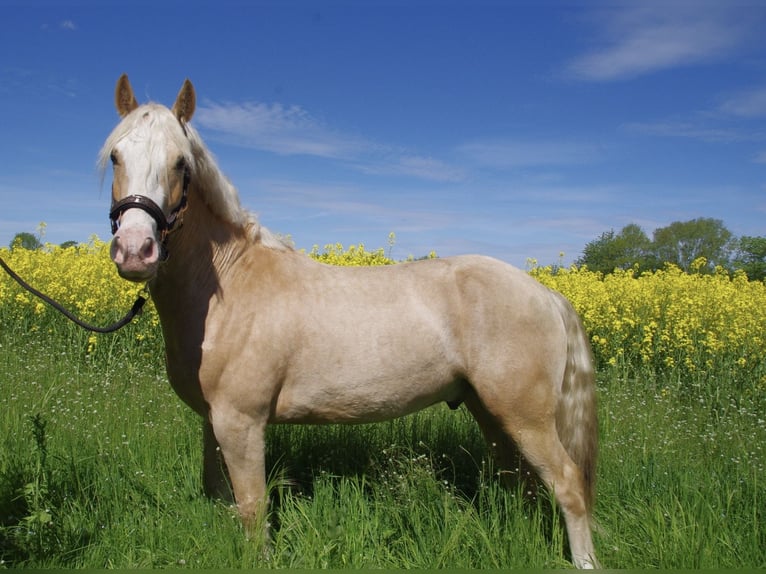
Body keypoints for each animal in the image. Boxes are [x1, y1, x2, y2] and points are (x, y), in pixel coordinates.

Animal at [102, 76, 604, 572]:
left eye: (180, 163)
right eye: (115, 156)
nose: (135, 250)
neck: (230, 283)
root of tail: (545, 294)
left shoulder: (241, 422)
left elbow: (253, 507)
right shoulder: (214, 422)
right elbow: (222, 495)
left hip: (526, 417)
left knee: (567, 483)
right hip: (491, 411)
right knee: (521, 481)